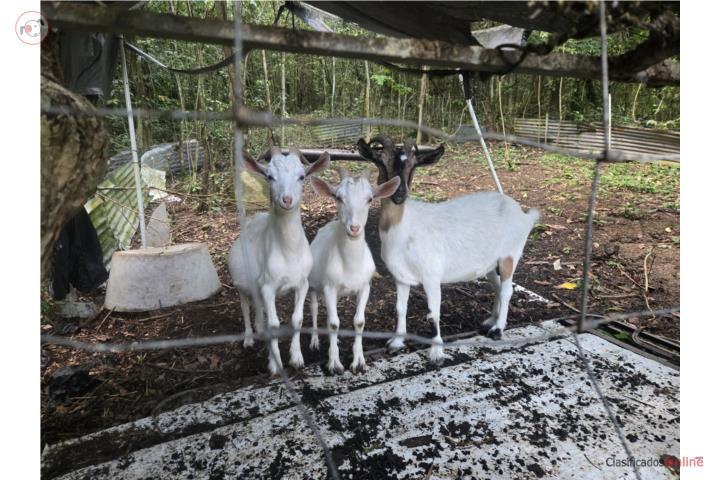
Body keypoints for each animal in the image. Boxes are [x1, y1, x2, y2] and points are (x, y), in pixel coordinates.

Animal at [228, 148, 330, 376]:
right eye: (270, 176)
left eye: (302, 176)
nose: (287, 199)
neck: (288, 252)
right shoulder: (268, 286)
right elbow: (274, 325)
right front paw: (275, 366)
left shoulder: (302, 283)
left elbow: (297, 319)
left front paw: (297, 358)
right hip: (240, 284)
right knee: (245, 306)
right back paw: (249, 338)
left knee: (258, 307)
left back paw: (259, 328)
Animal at [307, 170, 400, 374]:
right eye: (338, 197)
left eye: (370, 198)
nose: (354, 228)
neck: (350, 265)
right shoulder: (329, 287)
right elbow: (333, 323)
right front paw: (334, 364)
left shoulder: (365, 286)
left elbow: (359, 321)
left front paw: (359, 362)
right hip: (312, 284)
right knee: (315, 308)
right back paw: (315, 342)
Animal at [357, 135, 539, 363]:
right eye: (381, 162)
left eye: (413, 165)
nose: (399, 194)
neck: (403, 227)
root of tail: (525, 215)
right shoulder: (400, 277)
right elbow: (400, 308)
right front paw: (396, 343)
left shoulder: (432, 275)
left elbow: (433, 312)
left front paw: (436, 352)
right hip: (490, 264)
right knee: (498, 287)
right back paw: (490, 321)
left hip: (509, 255)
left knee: (507, 290)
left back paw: (497, 330)